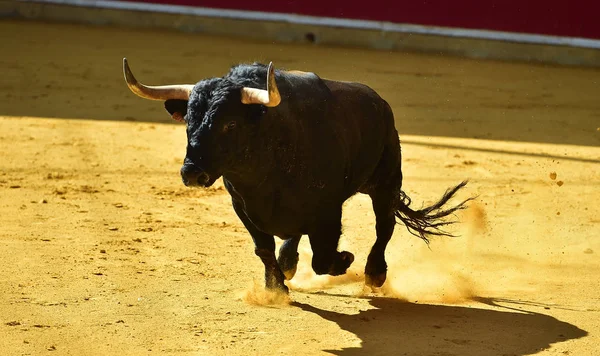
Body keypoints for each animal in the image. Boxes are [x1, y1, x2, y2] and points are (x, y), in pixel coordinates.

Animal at [123, 58, 474, 292]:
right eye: (188, 121)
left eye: (230, 124)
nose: (191, 172)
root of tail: (381, 104)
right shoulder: (243, 207)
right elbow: (263, 248)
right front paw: (275, 288)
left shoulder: (328, 212)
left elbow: (323, 257)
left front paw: (345, 258)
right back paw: (289, 264)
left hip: (385, 182)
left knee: (383, 226)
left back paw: (374, 274)